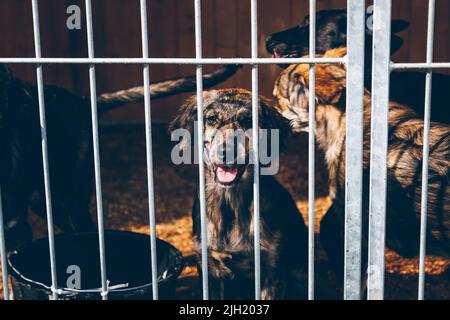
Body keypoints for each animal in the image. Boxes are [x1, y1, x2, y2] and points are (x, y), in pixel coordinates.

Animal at [170, 89, 310, 298]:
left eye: (247, 121)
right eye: (211, 119)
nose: (226, 152)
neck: (230, 202)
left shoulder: (272, 267)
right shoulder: (209, 266)